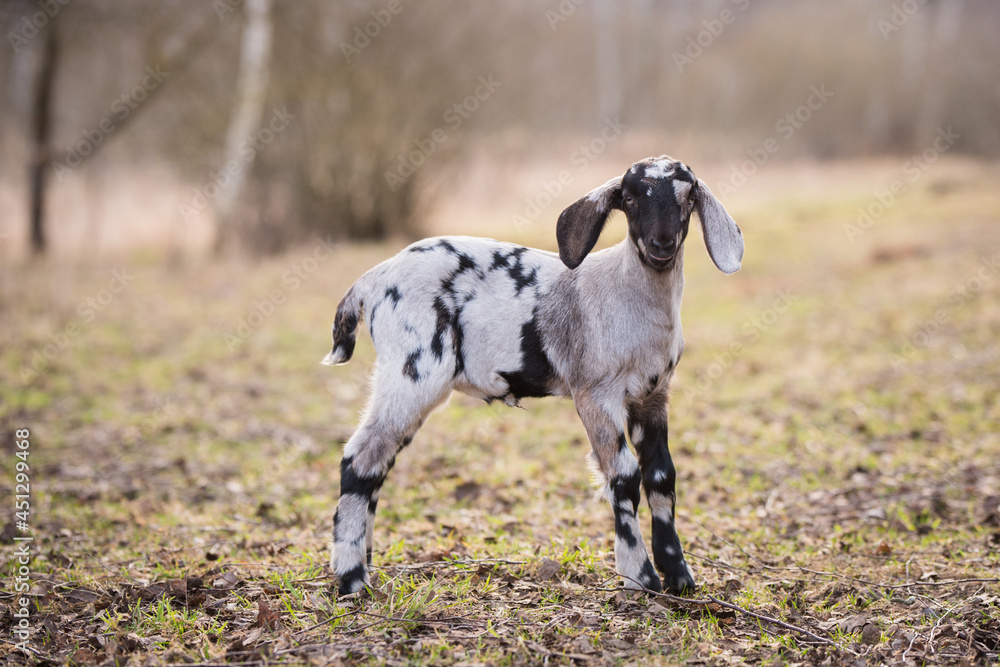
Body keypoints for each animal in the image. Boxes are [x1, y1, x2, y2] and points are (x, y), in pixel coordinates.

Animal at [322, 155, 743, 595]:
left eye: (688, 197)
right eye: (629, 198)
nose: (662, 244)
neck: (628, 294)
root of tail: (371, 281)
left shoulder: (653, 396)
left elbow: (661, 476)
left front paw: (678, 574)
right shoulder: (595, 393)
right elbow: (624, 475)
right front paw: (640, 576)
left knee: (376, 463)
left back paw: (364, 563)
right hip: (413, 372)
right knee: (358, 459)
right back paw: (351, 578)